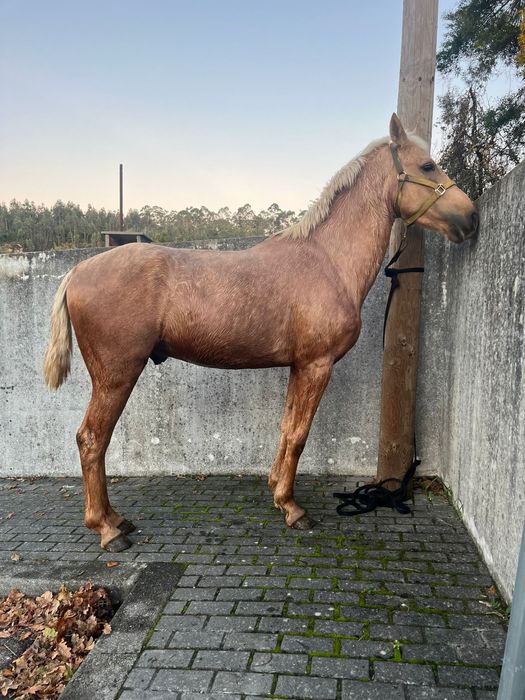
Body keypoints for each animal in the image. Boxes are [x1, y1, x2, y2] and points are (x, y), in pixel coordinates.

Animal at [43, 114, 478, 552]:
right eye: (427, 166)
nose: (471, 218)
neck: (327, 261)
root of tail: (77, 271)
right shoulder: (317, 365)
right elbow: (300, 434)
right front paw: (293, 508)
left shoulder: (298, 367)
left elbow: (286, 428)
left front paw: (276, 492)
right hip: (116, 376)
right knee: (92, 439)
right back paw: (108, 529)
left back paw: (117, 519)